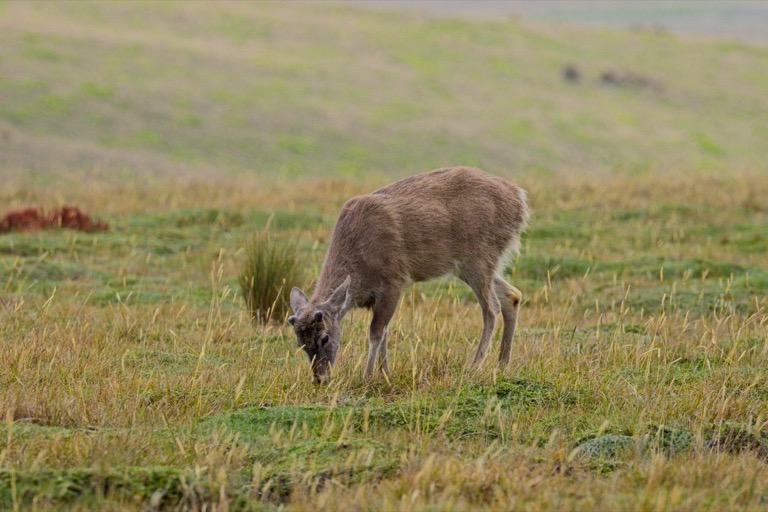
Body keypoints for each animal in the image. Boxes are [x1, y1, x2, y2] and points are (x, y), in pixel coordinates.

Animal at [288, 167, 529, 383]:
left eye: (325, 337)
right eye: (300, 343)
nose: (320, 378)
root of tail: (520, 199)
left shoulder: (394, 280)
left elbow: (376, 332)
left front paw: (367, 377)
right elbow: (384, 332)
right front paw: (385, 373)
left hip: (480, 256)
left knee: (491, 308)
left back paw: (474, 366)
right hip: (471, 265)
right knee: (512, 295)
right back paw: (502, 364)